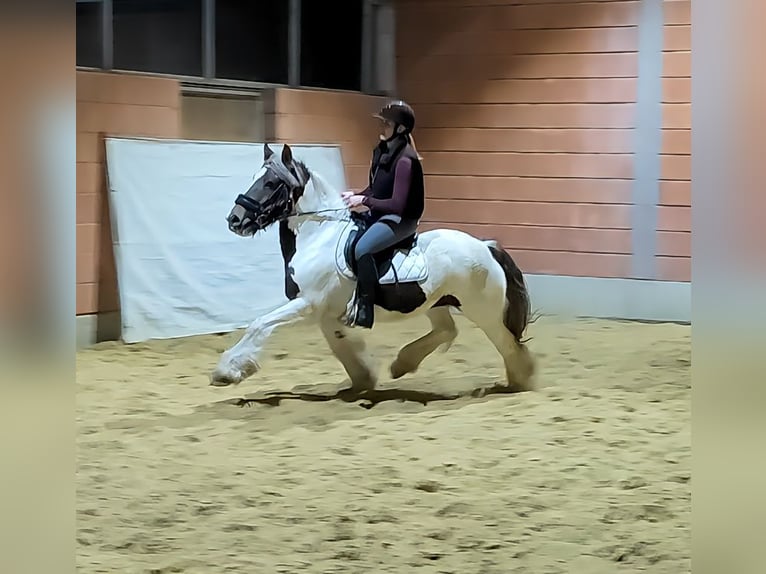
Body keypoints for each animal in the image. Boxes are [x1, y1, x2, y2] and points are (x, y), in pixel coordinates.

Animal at [208, 144, 536, 396]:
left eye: (271, 183)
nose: (234, 220)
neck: (318, 236)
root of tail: (485, 246)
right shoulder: (326, 314)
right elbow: (340, 347)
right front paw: (362, 381)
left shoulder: (308, 304)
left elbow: (259, 324)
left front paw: (227, 372)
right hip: (436, 302)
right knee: (447, 330)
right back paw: (402, 364)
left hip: (483, 310)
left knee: (507, 344)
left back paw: (520, 381)